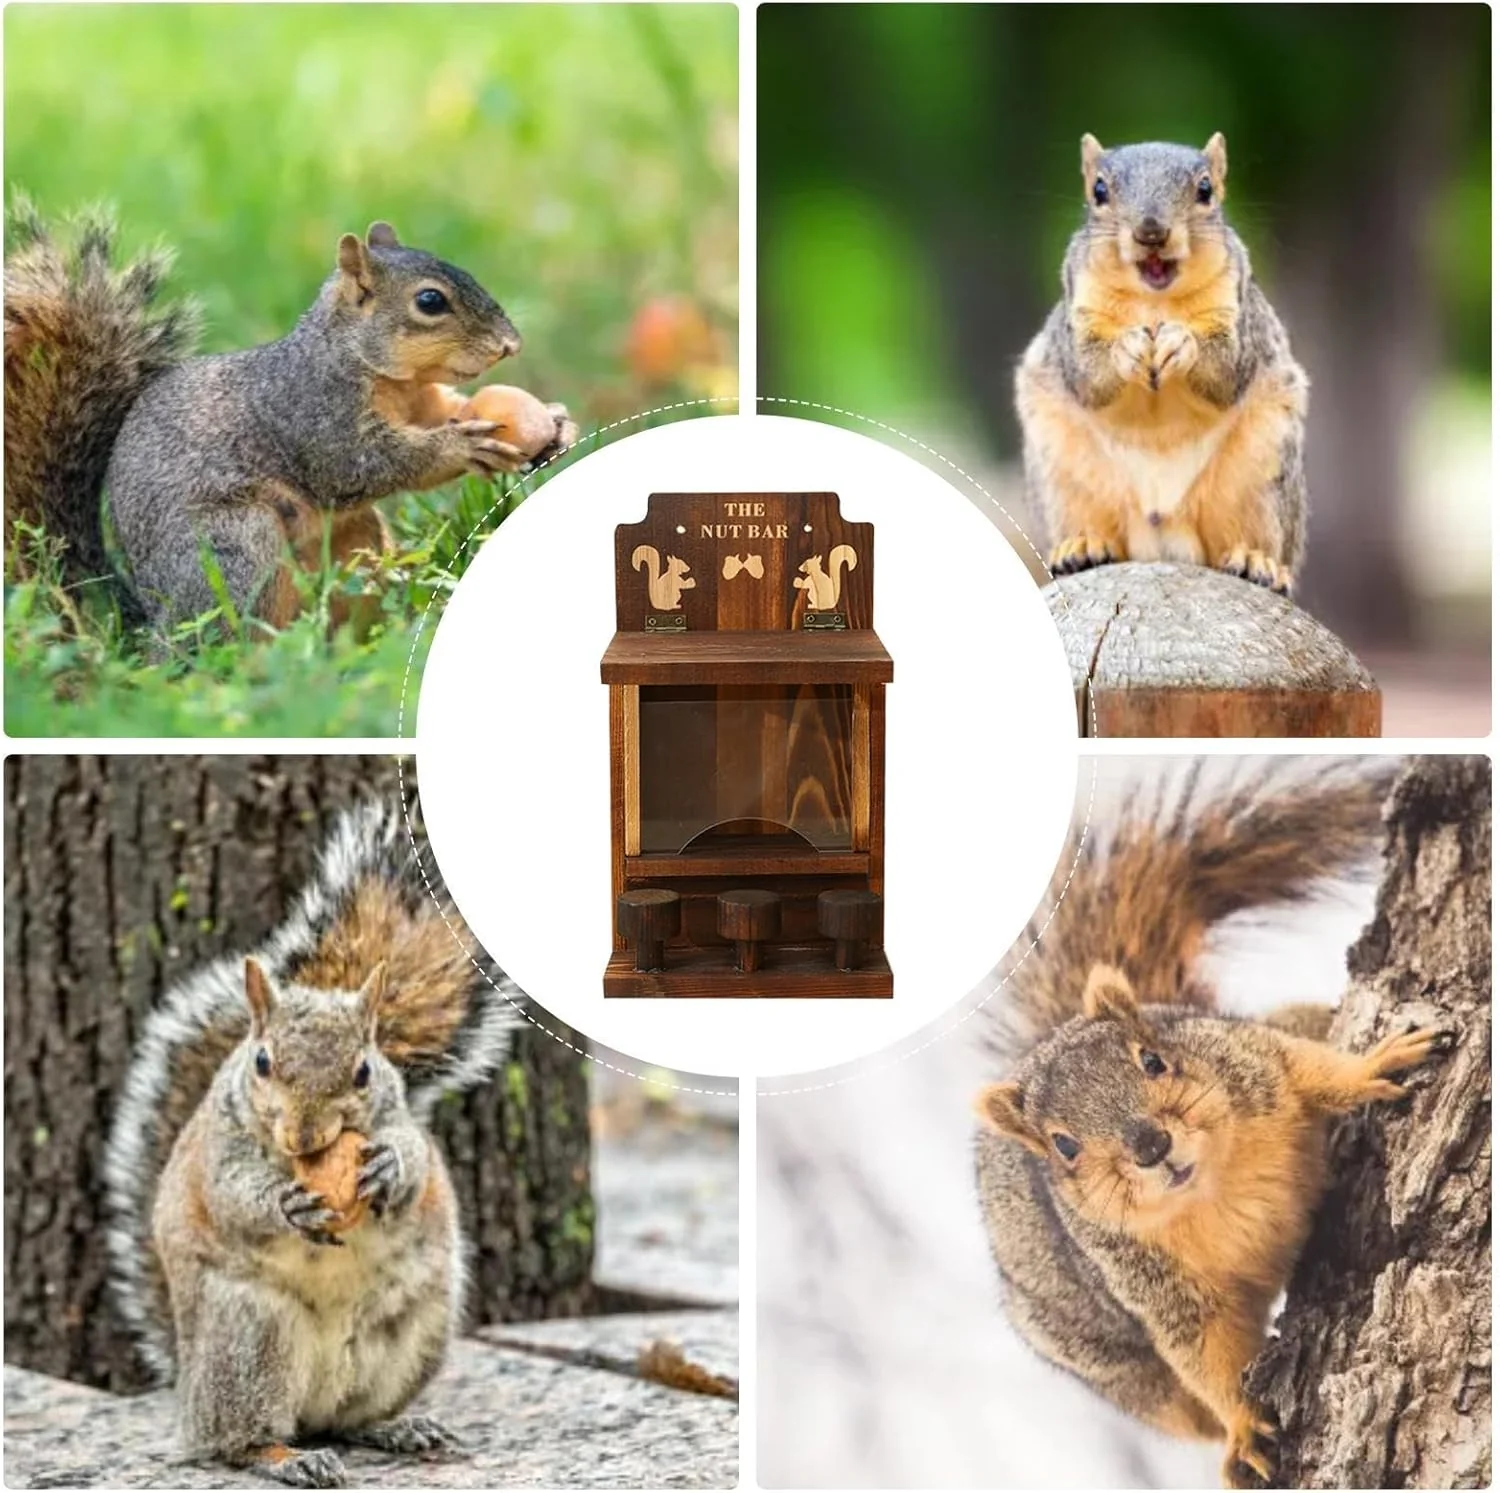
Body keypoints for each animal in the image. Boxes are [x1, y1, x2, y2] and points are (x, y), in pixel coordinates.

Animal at [4, 199, 575, 635]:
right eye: (430, 301)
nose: (510, 344)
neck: (380, 375)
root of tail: (148, 619)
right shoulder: (313, 414)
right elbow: (362, 464)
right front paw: (461, 447)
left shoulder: (424, 402)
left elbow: (449, 413)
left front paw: (555, 421)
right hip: (235, 548)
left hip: (355, 543)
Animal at [103, 802, 518, 1487]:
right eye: (262, 1062)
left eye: (364, 1072)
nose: (304, 1134)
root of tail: (189, 1392)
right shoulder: (220, 1151)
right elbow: (233, 1194)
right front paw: (285, 1204)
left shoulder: (401, 1118)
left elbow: (416, 1158)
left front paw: (387, 1170)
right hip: (250, 1341)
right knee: (235, 1440)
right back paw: (284, 1457)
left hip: (412, 1334)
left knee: (348, 1420)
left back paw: (397, 1427)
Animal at [972, 764, 1446, 1488]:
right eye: (1063, 1146)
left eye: (1154, 1059)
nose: (1150, 1144)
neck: (1214, 1185)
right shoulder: (1158, 1288)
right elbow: (1208, 1355)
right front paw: (1245, 1425)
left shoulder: (1250, 1061)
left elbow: (1311, 1067)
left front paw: (1373, 1064)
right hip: (1114, 1365)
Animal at [1015, 134, 1309, 595]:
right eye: (1099, 190)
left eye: (1205, 189)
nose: (1151, 232)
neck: (1154, 300)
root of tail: (1161, 527)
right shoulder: (1077, 315)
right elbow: (1087, 376)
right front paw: (1127, 349)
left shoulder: (1238, 312)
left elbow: (1228, 372)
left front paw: (1180, 343)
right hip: (1062, 475)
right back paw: (1081, 546)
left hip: (1263, 472)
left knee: (1254, 534)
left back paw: (1255, 560)